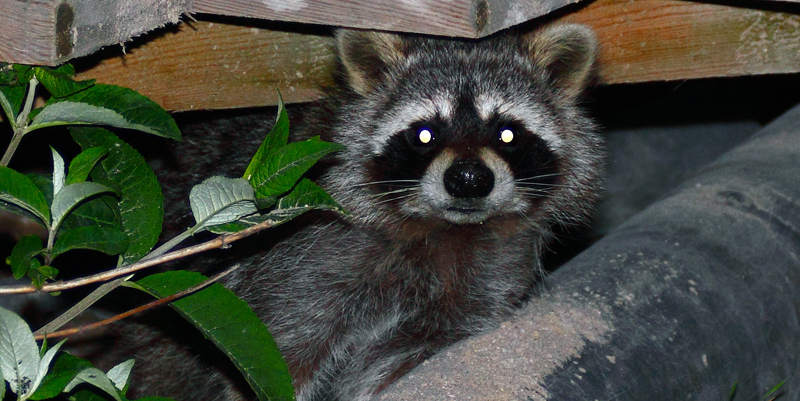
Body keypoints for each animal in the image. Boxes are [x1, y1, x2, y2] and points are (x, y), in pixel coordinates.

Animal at [123, 23, 600, 400]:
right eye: (424, 134)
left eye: (507, 134)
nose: (468, 179)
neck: (443, 228)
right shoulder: (304, 255)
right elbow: (277, 347)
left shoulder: (484, 279)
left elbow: (412, 354)